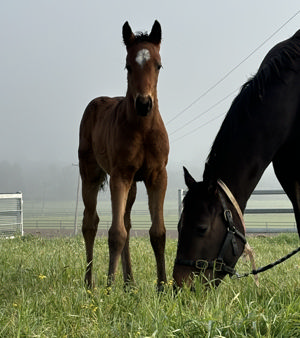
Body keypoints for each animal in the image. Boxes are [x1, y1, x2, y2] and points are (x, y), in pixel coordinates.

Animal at [79, 21, 169, 290]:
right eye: (128, 66)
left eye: (158, 65)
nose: (144, 104)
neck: (142, 130)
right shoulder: (120, 176)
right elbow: (115, 233)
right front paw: (109, 288)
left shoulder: (157, 176)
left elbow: (157, 232)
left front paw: (164, 286)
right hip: (90, 174)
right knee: (90, 223)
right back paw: (90, 283)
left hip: (134, 185)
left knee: (127, 222)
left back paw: (129, 283)